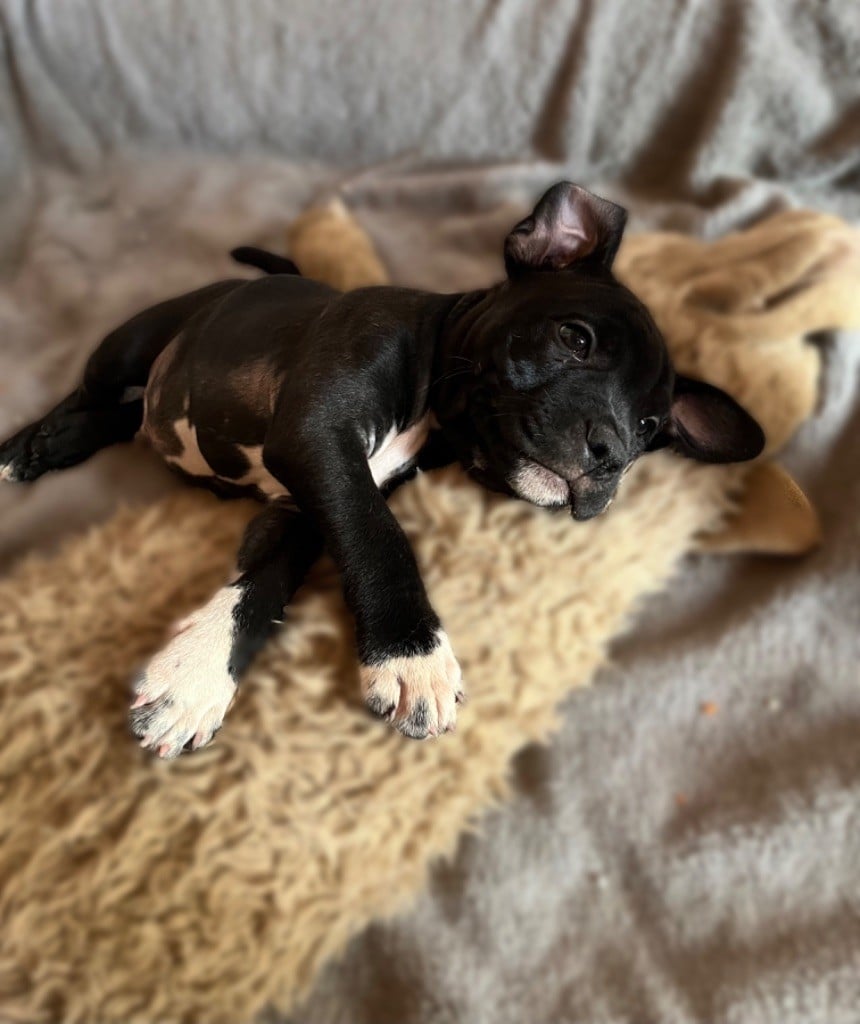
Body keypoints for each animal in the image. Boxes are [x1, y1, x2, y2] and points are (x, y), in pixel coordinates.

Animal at [0, 183, 764, 756]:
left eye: (650, 429)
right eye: (575, 338)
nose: (612, 452)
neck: (436, 393)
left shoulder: (306, 502)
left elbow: (267, 579)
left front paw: (199, 672)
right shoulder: (321, 442)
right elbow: (378, 535)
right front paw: (411, 652)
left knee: (128, 416)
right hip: (137, 339)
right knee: (97, 389)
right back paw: (36, 445)